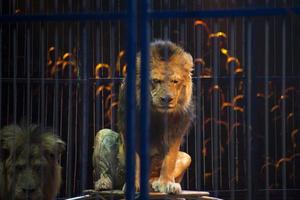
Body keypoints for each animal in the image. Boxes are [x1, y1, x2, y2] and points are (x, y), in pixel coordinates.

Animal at [92, 40, 193, 194]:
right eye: (156, 80)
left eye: (175, 81)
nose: (167, 99)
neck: (155, 112)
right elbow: (134, 159)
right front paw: (133, 185)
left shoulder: (176, 129)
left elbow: (169, 160)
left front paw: (167, 183)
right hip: (103, 134)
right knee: (105, 172)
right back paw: (103, 183)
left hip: (187, 157)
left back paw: (154, 183)